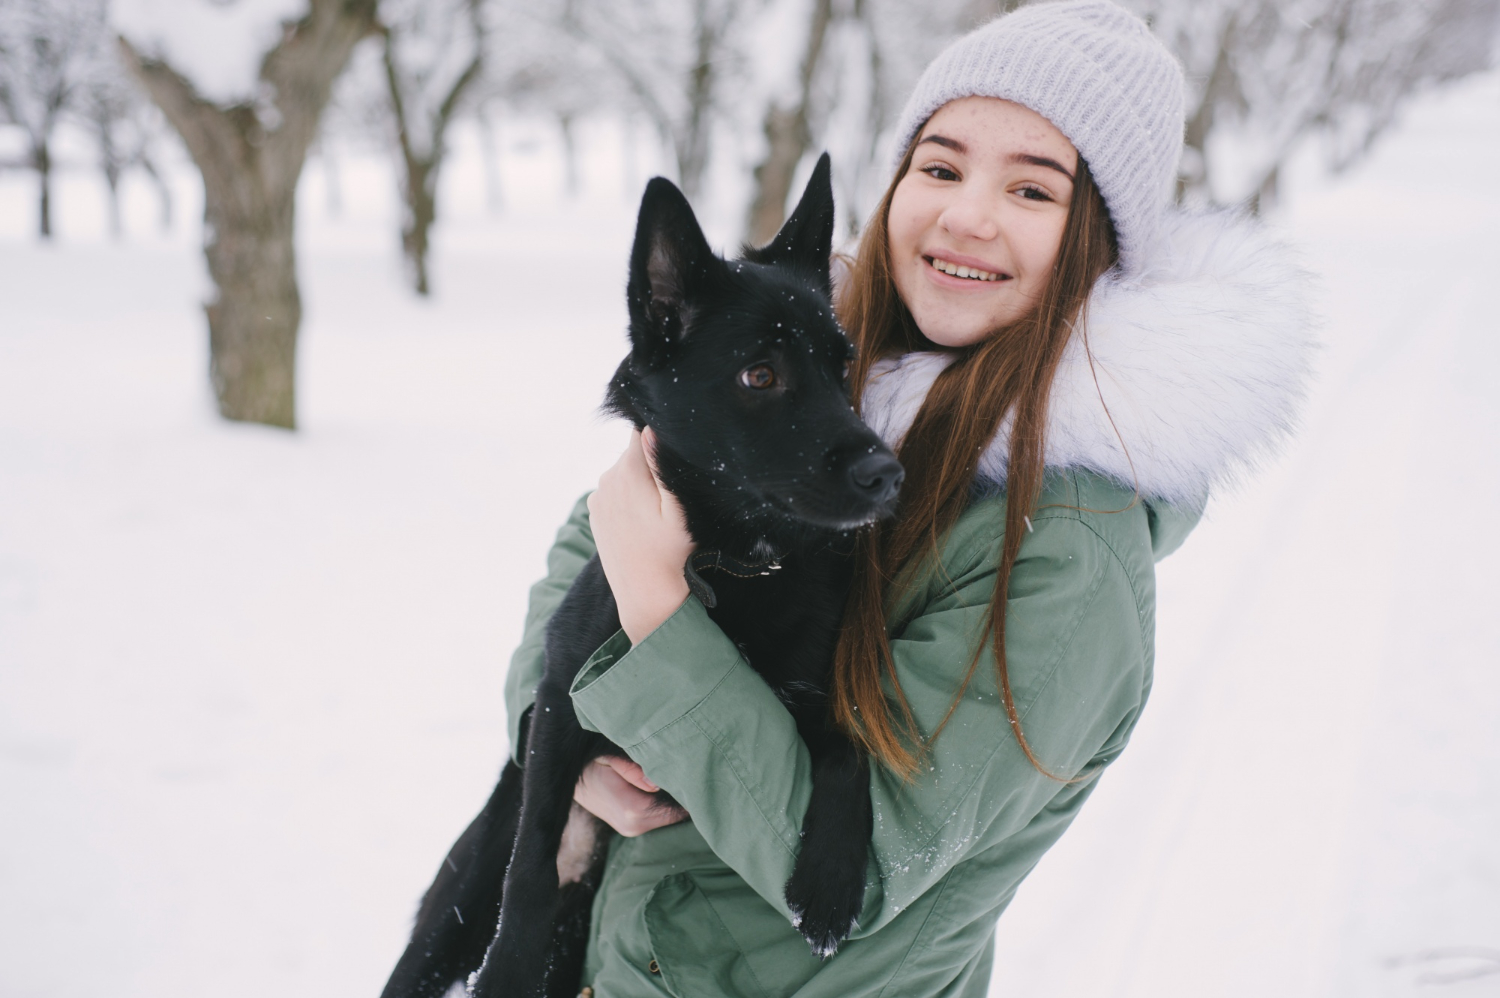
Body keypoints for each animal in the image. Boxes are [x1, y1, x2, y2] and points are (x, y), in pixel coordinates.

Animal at [384, 153, 900, 996]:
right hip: (448, 920)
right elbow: (531, 866)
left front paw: (829, 882)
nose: (889, 475)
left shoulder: (805, 696)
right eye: (760, 375)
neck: (733, 565)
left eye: (841, 365)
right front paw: (509, 962)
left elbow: (850, 745)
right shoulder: (560, 704)